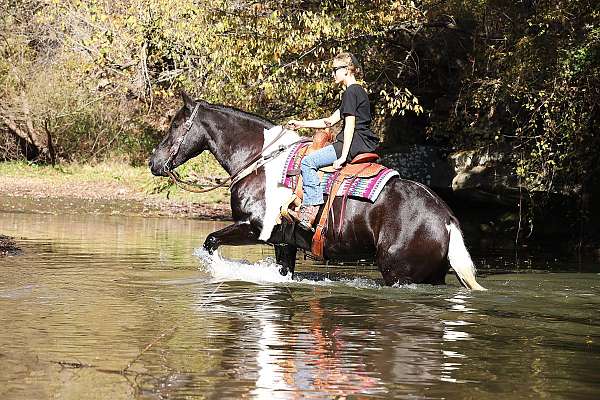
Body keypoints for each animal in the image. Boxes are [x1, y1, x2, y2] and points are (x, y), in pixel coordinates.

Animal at [150, 92, 488, 290]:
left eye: (176, 125)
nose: (154, 163)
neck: (260, 160)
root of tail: (445, 218)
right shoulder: (283, 242)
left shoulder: (256, 228)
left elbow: (210, 241)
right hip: (432, 274)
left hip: (399, 274)